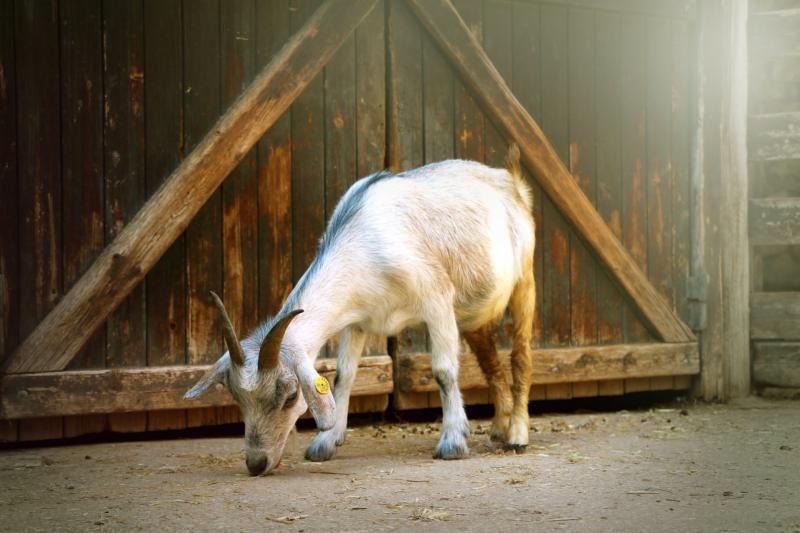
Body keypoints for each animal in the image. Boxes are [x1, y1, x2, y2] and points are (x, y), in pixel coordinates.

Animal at [186, 144, 536, 474]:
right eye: (237, 397)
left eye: (290, 396)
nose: (257, 463)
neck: (366, 242)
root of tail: (509, 179)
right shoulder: (357, 321)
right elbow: (344, 375)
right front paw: (326, 442)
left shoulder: (437, 299)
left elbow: (443, 371)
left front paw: (452, 442)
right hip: (472, 314)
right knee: (490, 360)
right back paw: (498, 429)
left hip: (524, 281)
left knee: (520, 355)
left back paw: (517, 435)